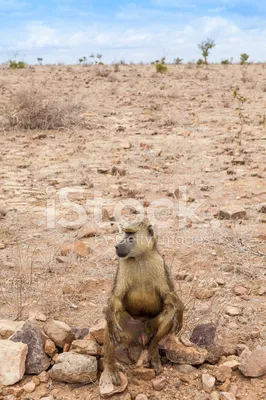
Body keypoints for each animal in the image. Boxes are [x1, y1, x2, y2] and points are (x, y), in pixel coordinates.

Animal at [103, 220, 184, 386]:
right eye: (125, 234)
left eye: (130, 236)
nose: (117, 246)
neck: (141, 257)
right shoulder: (122, 263)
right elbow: (116, 298)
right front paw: (110, 319)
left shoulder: (160, 263)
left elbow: (169, 297)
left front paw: (180, 309)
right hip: (128, 332)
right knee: (115, 317)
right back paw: (111, 366)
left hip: (150, 327)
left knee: (169, 311)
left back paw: (153, 350)